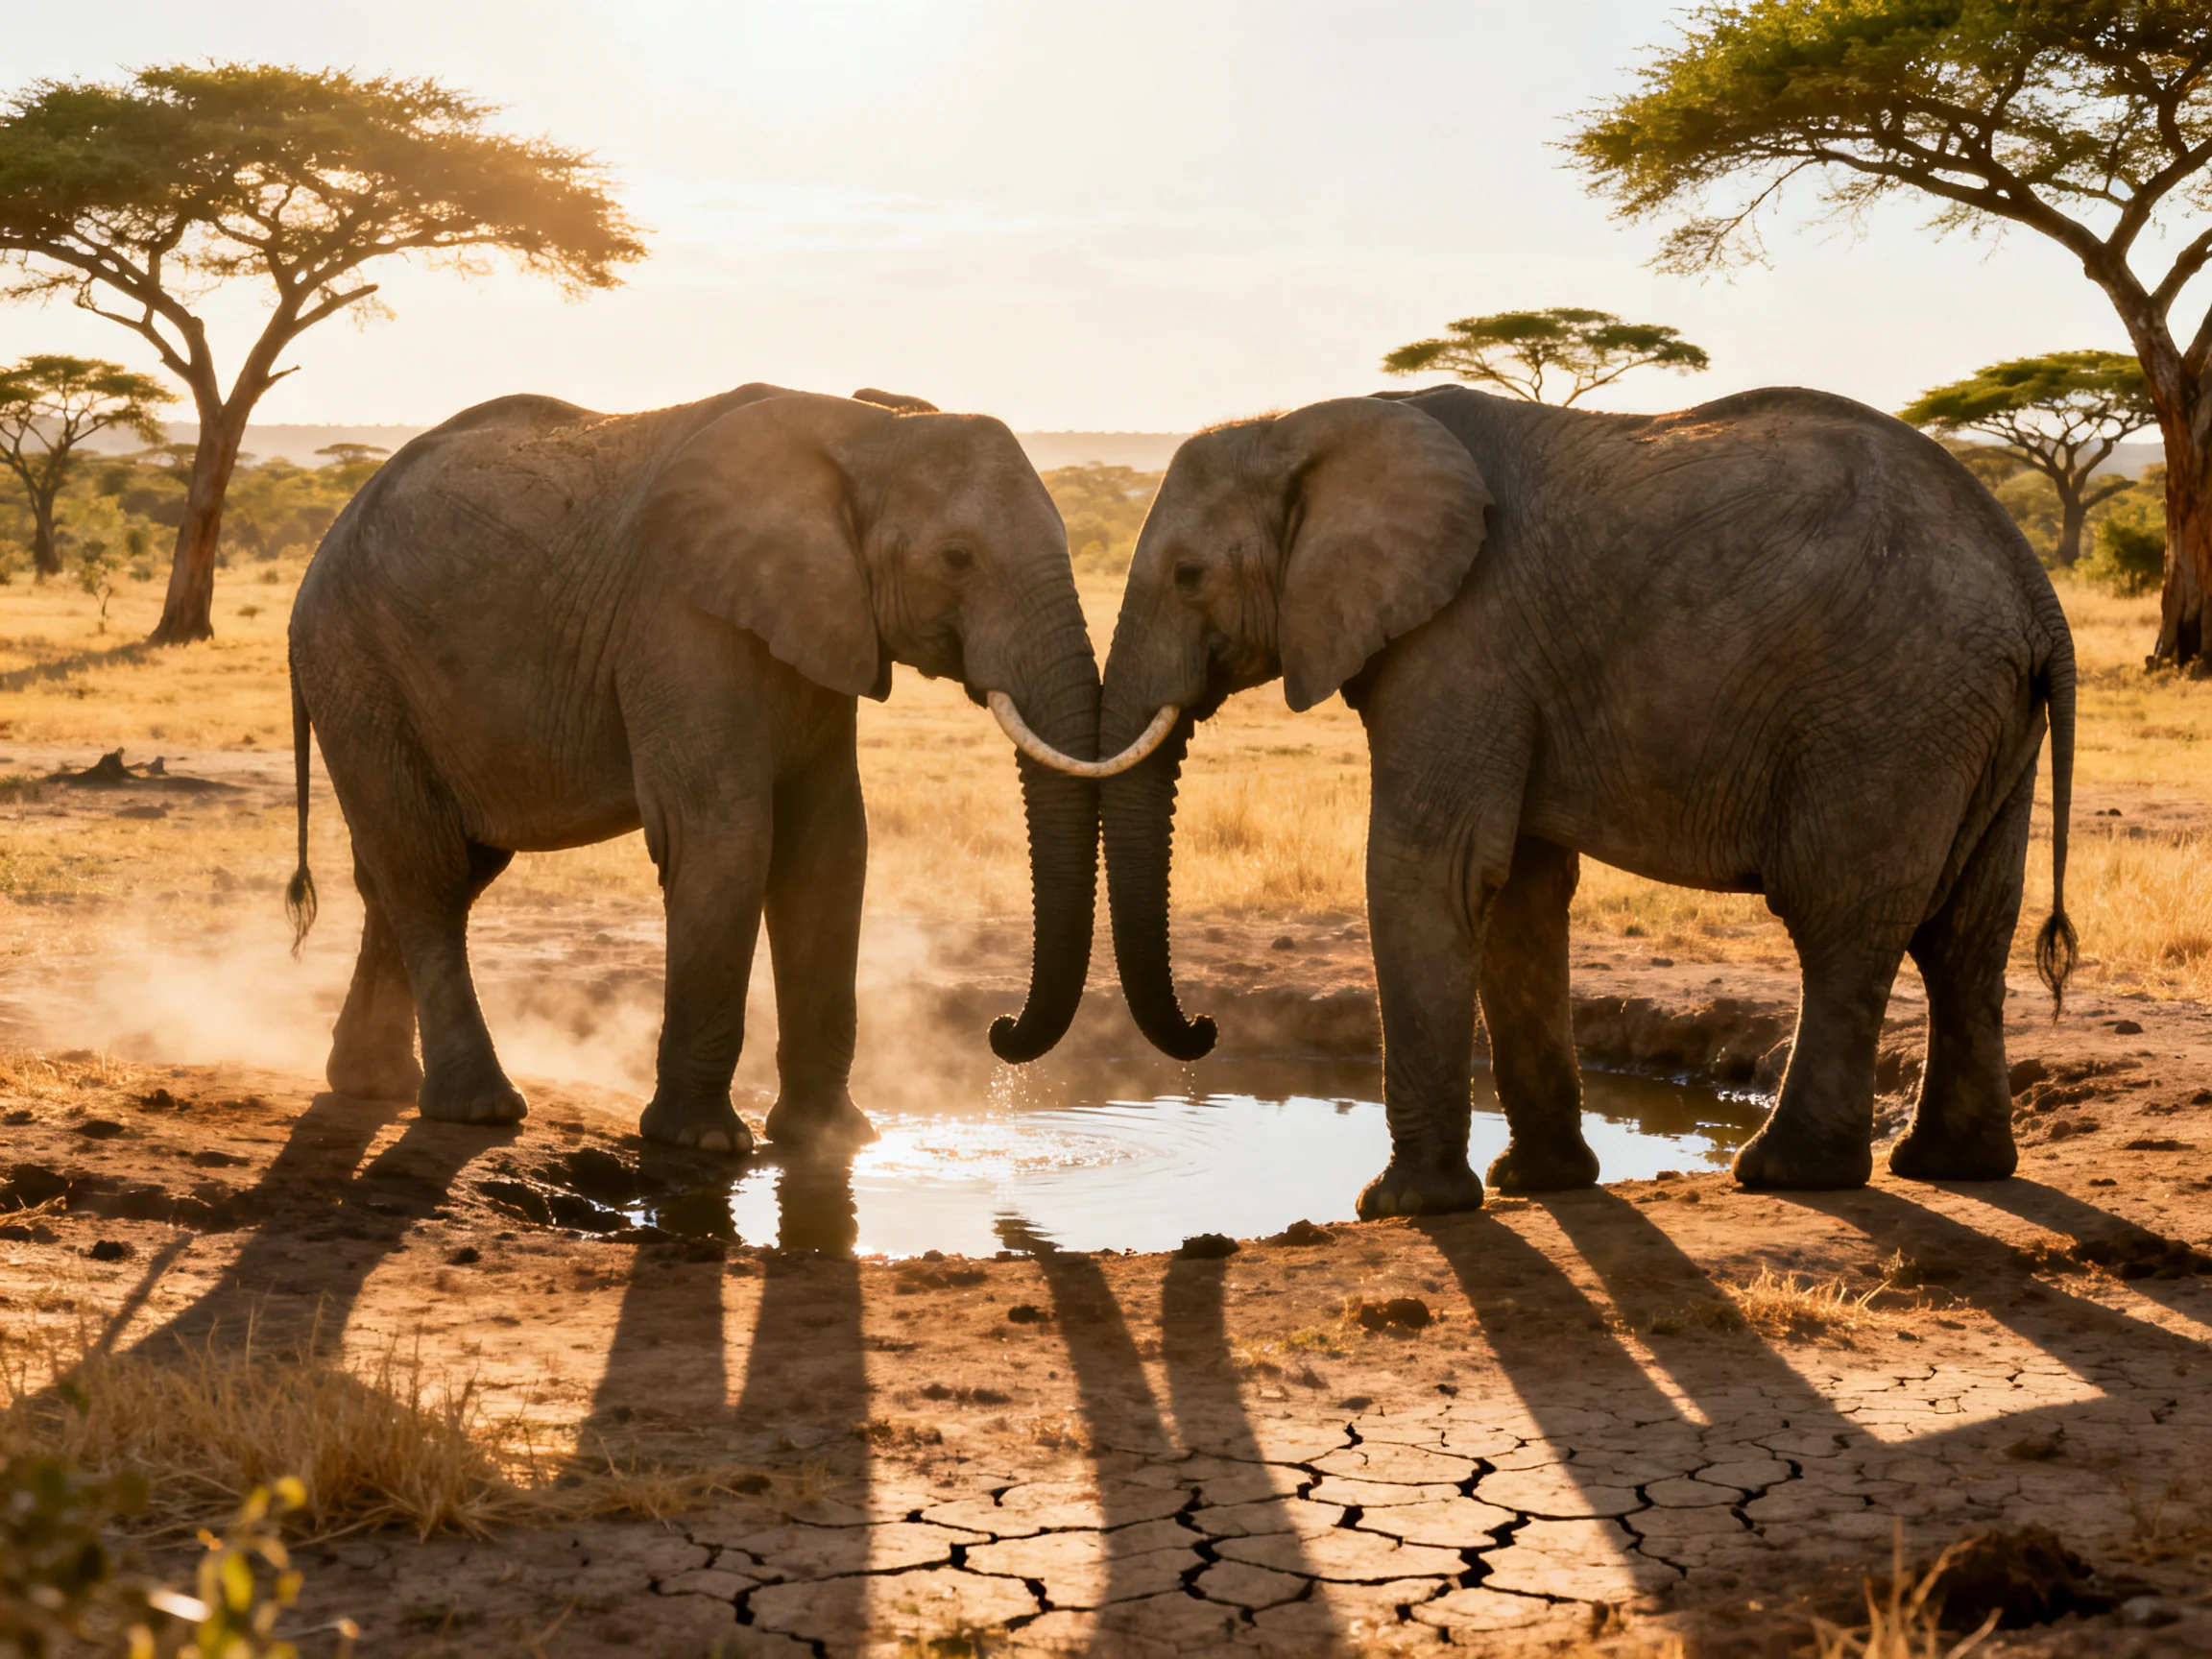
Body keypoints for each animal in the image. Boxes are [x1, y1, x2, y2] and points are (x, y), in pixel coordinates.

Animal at [285, 383, 1157, 1154]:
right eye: (957, 558)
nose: (1001, 1032)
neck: (867, 431)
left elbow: (829, 850)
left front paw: (835, 1139)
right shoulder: (678, 617)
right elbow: (726, 836)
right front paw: (705, 1142)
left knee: (429, 869)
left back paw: (373, 1084)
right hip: (355, 662)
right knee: (426, 869)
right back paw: (480, 1109)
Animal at [1063, 385, 2075, 1218]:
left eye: (1190, 576)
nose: (1204, 1031)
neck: (1313, 420)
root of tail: (2036, 594)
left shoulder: (1464, 635)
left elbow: (1431, 869)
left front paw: (1400, 1206)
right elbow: (1519, 890)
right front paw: (1538, 1184)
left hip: (1890, 710)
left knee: (1842, 919)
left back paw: (1786, 1173)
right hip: (1977, 721)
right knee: (1966, 934)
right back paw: (1952, 1167)